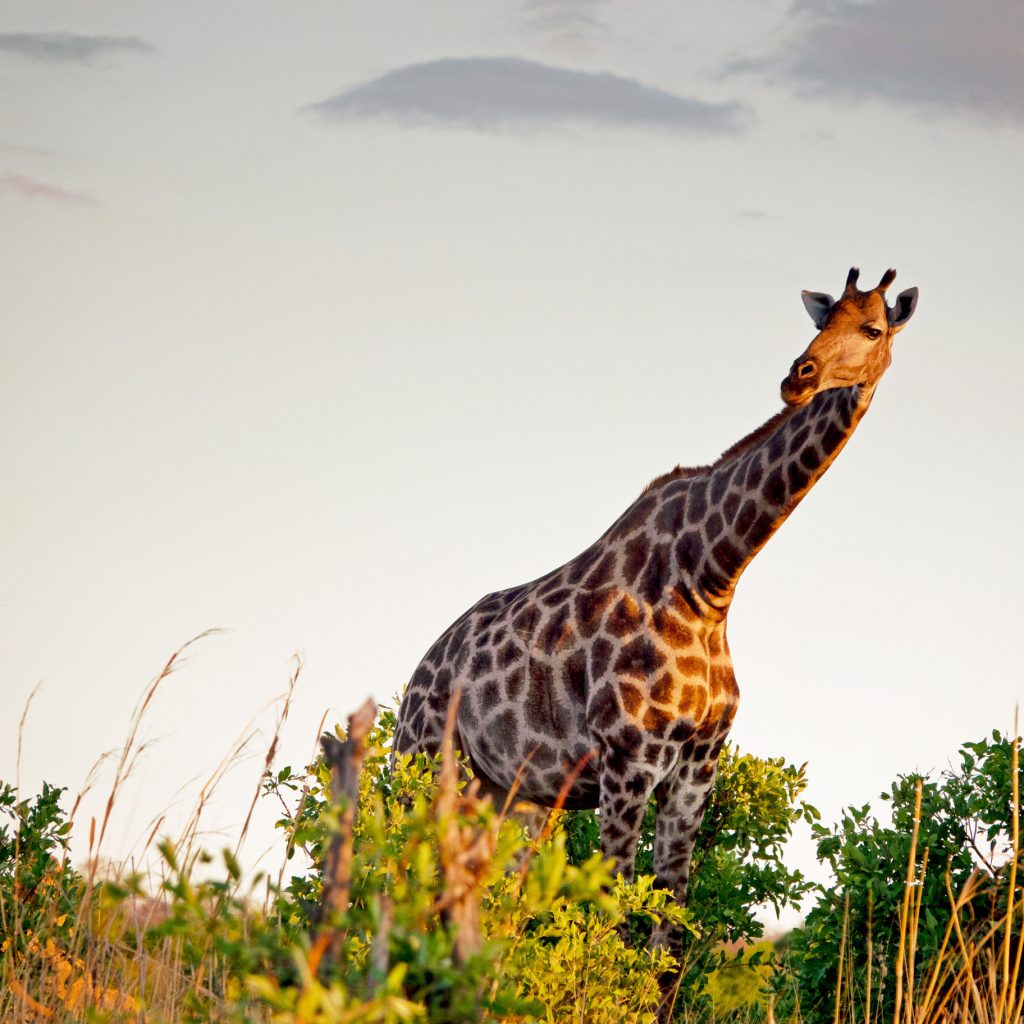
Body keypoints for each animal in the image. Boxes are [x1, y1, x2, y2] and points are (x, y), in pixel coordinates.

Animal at [393, 266, 918, 928]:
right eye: (823, 320)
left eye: (872, 327)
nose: (798, 376)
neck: (712, 578)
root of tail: (416, 677)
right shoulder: (627, 757)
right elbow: (614, 912)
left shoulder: (696, 768)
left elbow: (672, 913)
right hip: (422, 767)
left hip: (511, 796)